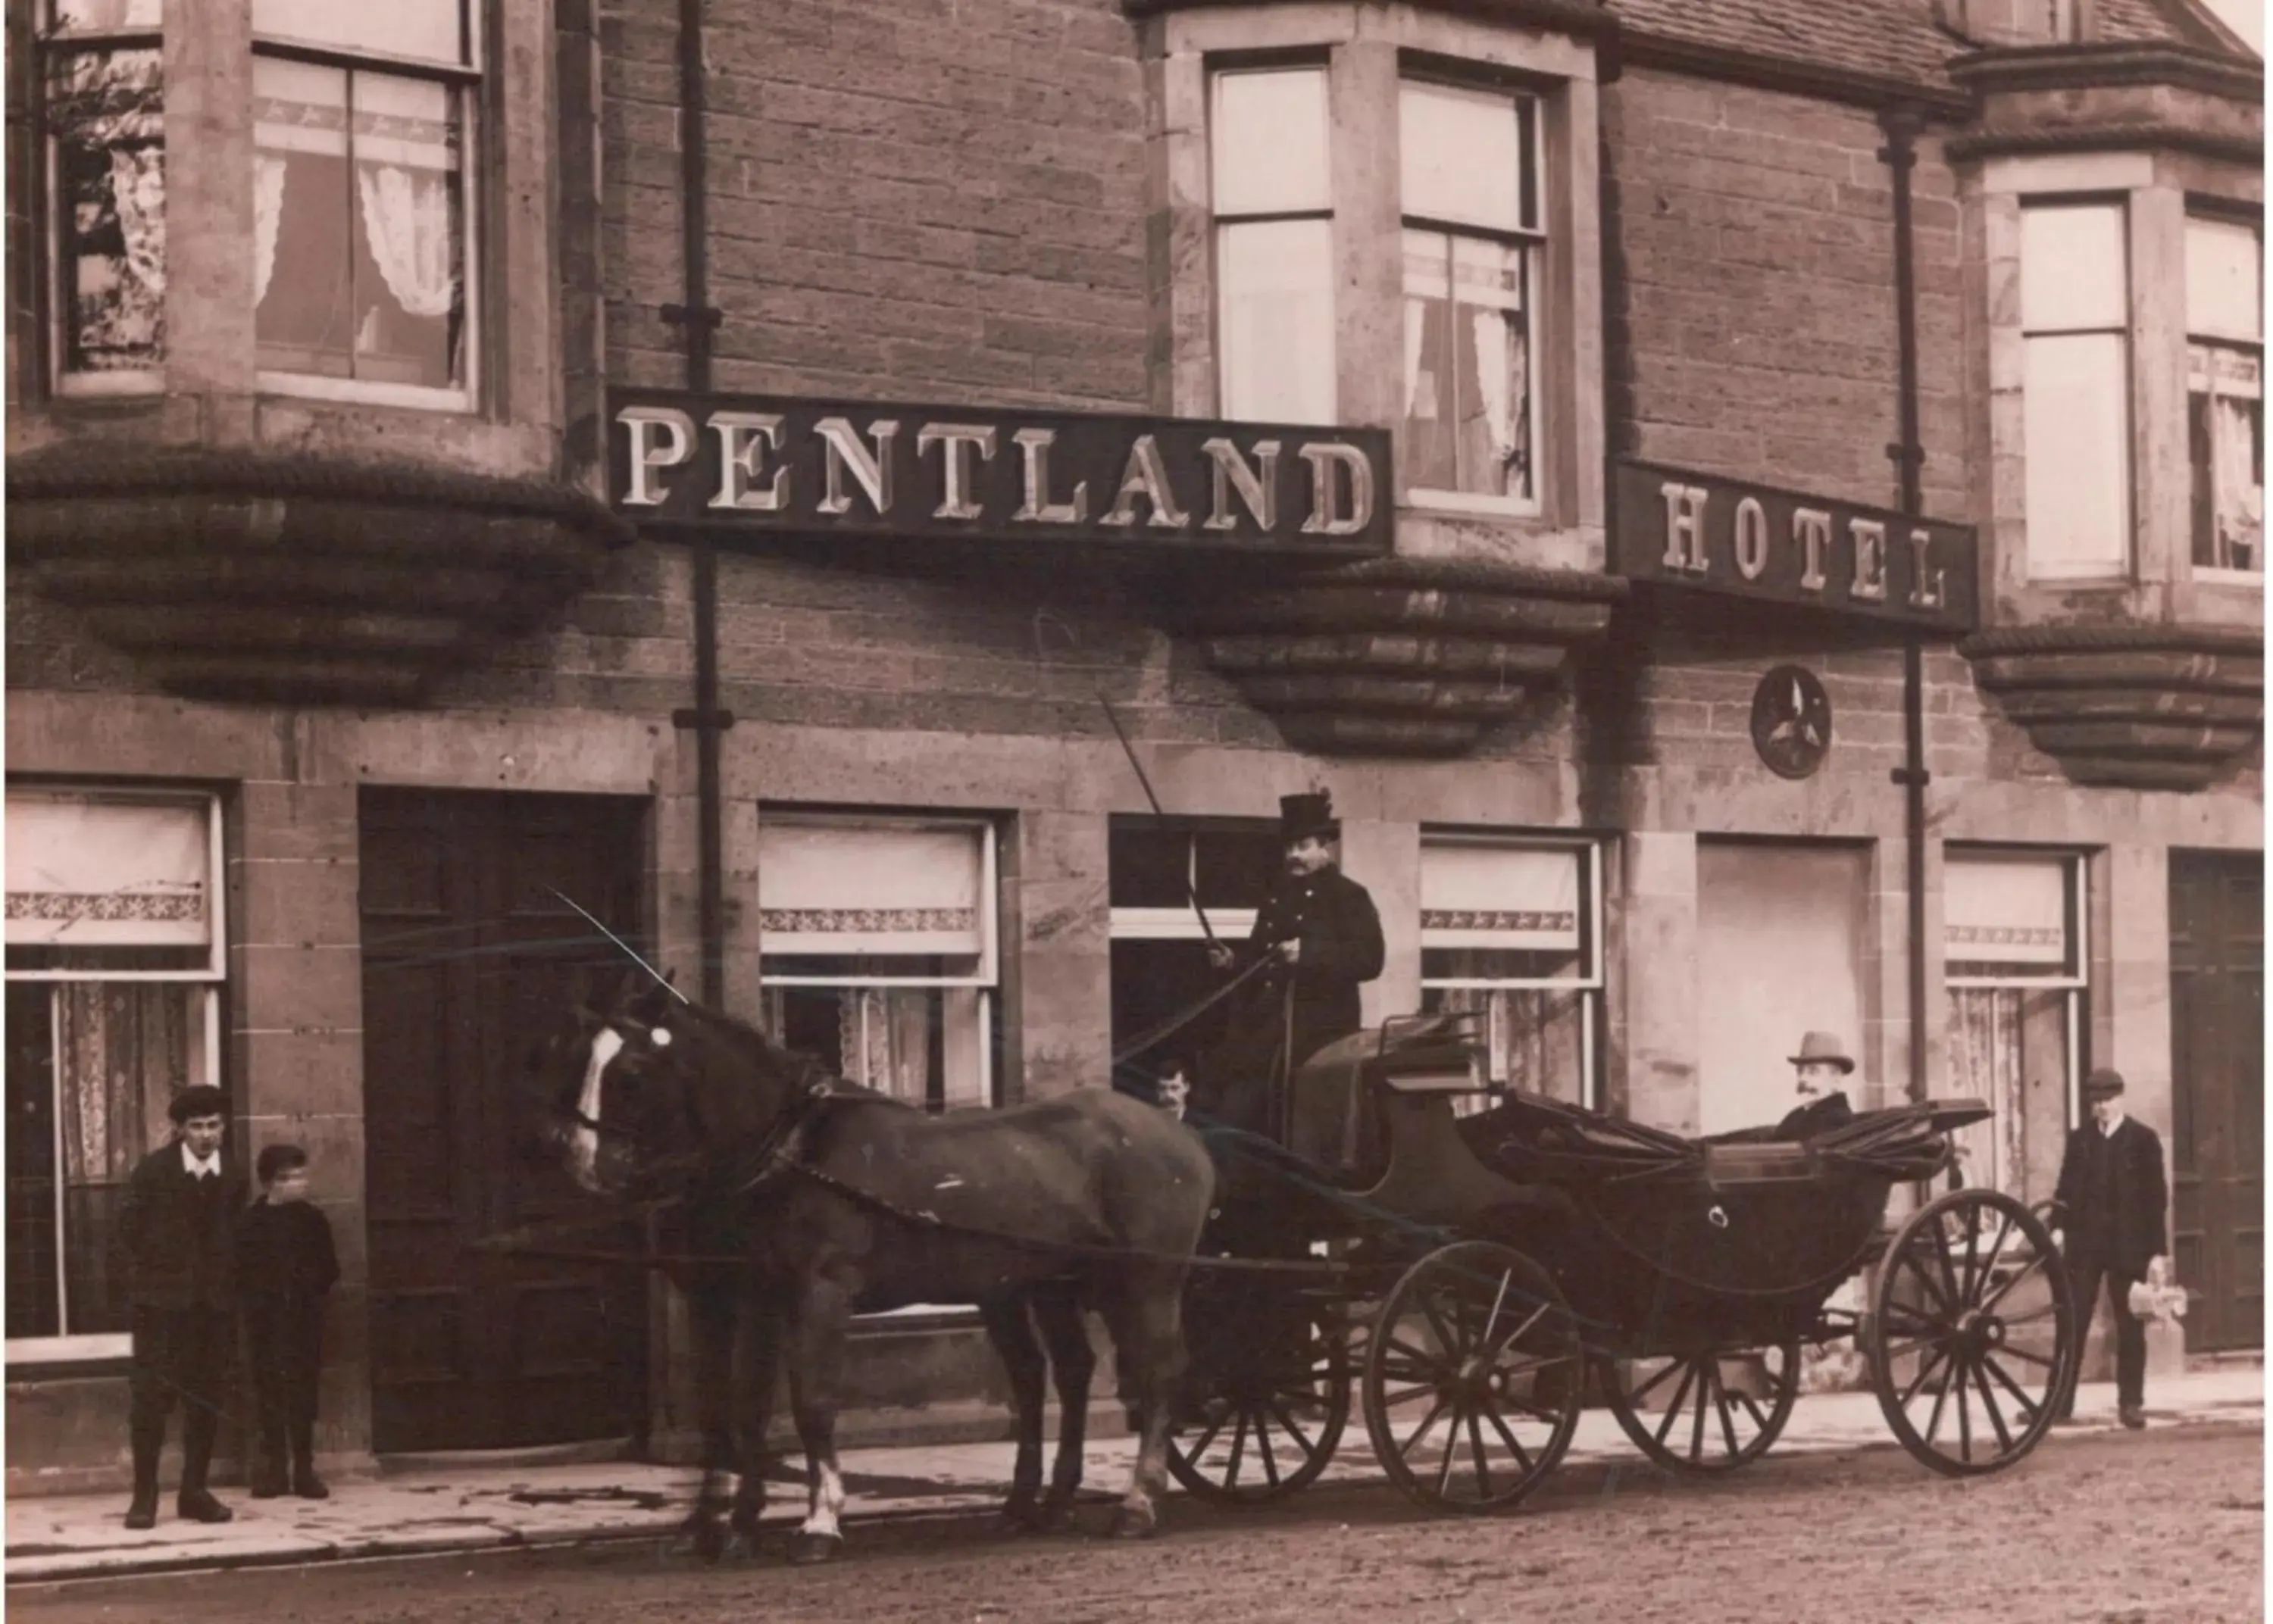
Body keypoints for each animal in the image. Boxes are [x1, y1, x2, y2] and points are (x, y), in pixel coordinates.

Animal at [541, 972, 1218, 1554]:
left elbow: (812, 1399)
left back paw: (1137, 1502)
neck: (793, 1151)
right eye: (577, 1060)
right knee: (1063, 1374)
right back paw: (1041, 1505)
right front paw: (730, 1526)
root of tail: (1180, 1134)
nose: (580, 1162)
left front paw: (820, 1520)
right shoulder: (756, 1294)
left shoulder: (820, 1290)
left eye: (630, 1072)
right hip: (1046, 1284)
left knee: (1157, 1373)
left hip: (1145, 1281)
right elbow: (742, 1404)